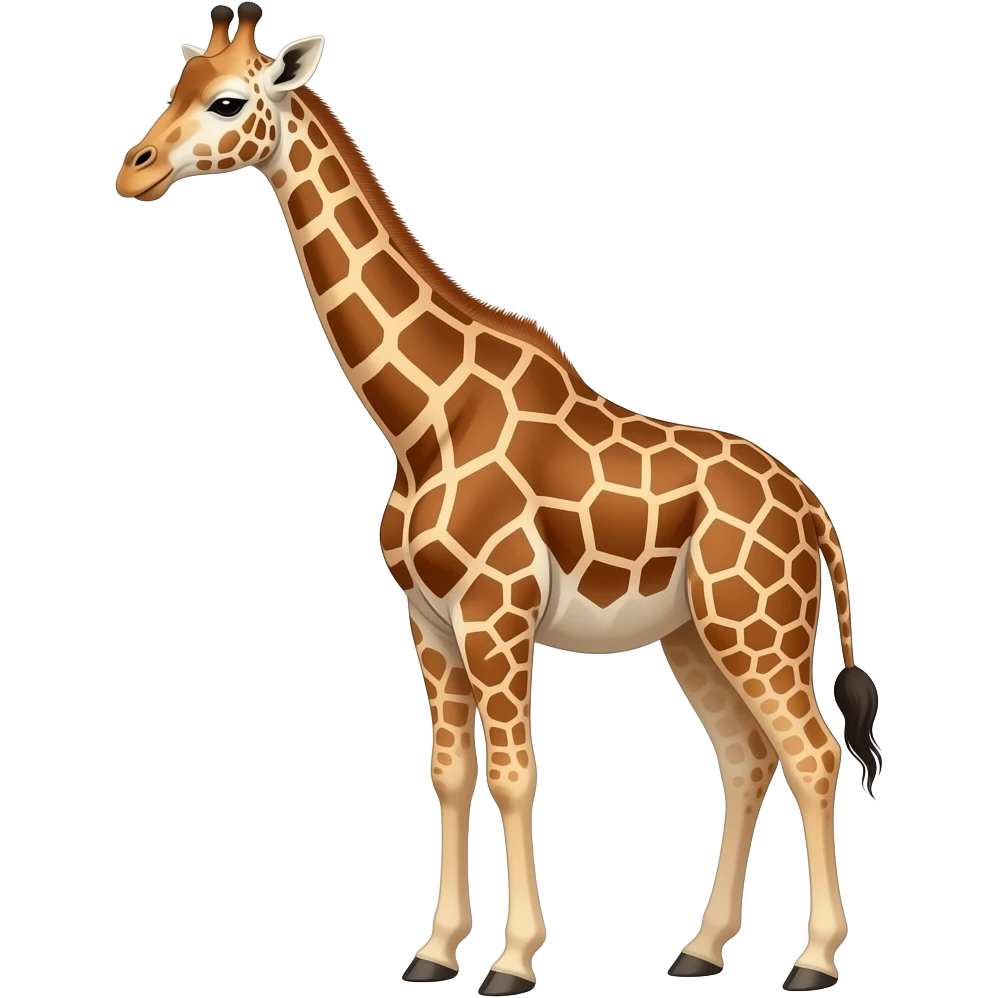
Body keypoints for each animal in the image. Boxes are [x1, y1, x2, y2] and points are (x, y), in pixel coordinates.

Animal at [114, 5, 884, 993]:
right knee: (749, 759)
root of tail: (817, 512)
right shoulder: (429, 622)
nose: (133, 170)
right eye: (177, 83)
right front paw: (436, 951)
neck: (422, 420)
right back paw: (700, 950)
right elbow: (449, 773)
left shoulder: (496, 612)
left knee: (813, 752)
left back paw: (814, 960)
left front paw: (514, 960)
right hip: (693, 634)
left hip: (758, 626)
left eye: (228, 101)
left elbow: (515, 774)